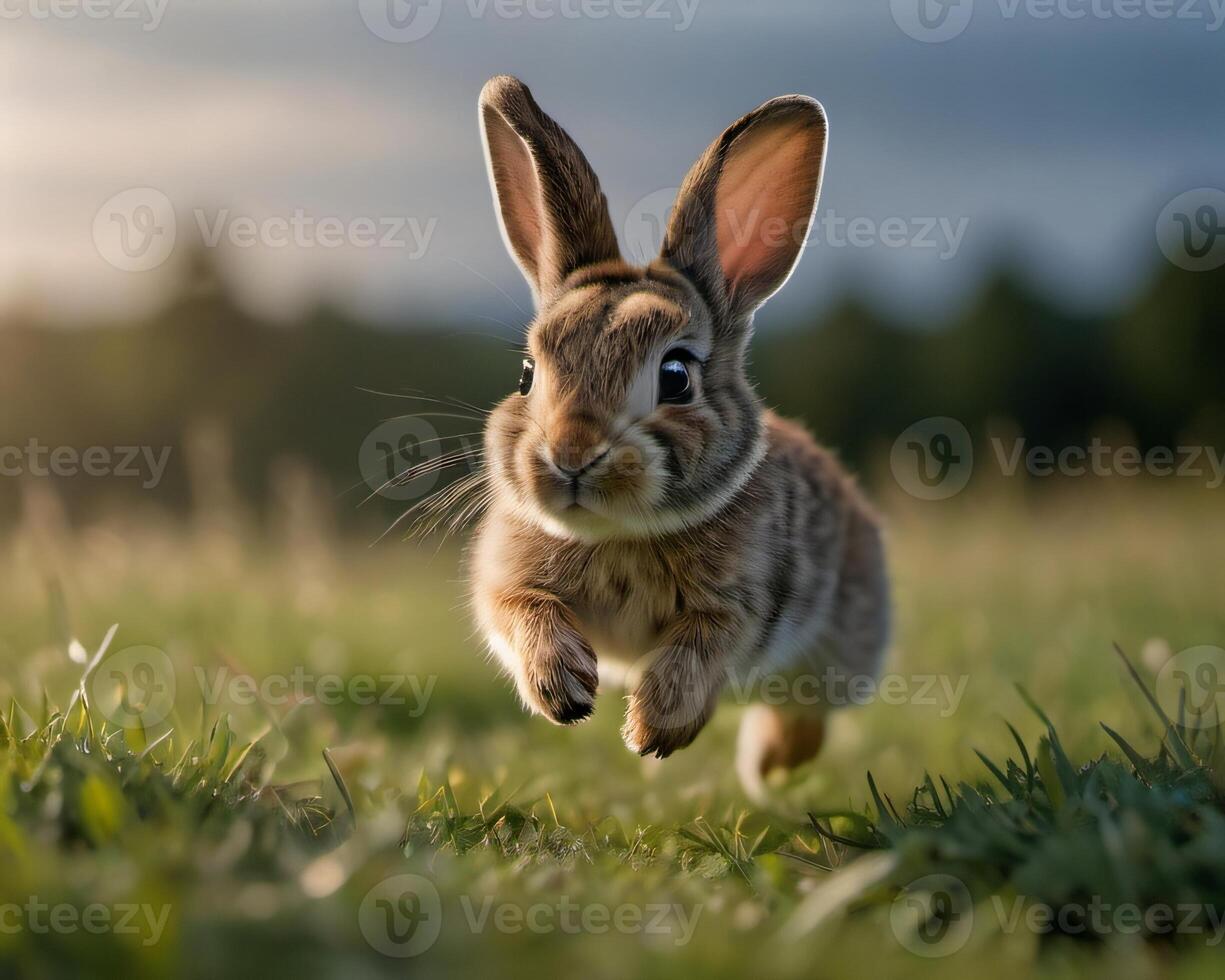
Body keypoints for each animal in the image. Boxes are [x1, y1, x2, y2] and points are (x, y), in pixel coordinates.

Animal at [467, 74, 891, 793]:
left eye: (675, 376)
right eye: (527, 374)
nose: (572, 454)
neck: (618, 534)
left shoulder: (744, 607)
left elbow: (702, 647)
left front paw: (651, 731)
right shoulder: (505, 581)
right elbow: (521, 610)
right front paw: (563, 691)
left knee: (804, 714)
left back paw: (762, 767)